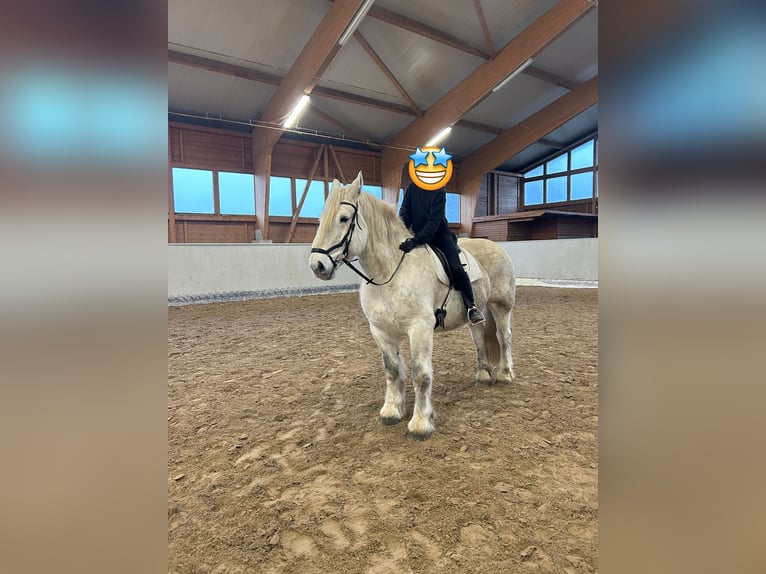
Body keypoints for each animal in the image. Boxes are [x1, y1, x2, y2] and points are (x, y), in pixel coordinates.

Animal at [308, 171, 516, 440]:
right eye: (321, 219)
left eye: (343, 218)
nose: (317, 265)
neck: (389, 272)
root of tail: (496, 246)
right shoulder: (381, 331)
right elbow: (392, 370)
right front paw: (391, 411)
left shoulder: (419, 329)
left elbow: (421, 374)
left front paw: (420, 423)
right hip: (476, 313)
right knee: (480, 338)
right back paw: (482, 374)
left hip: (501, 306)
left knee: (504, 338)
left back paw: (505, 374)